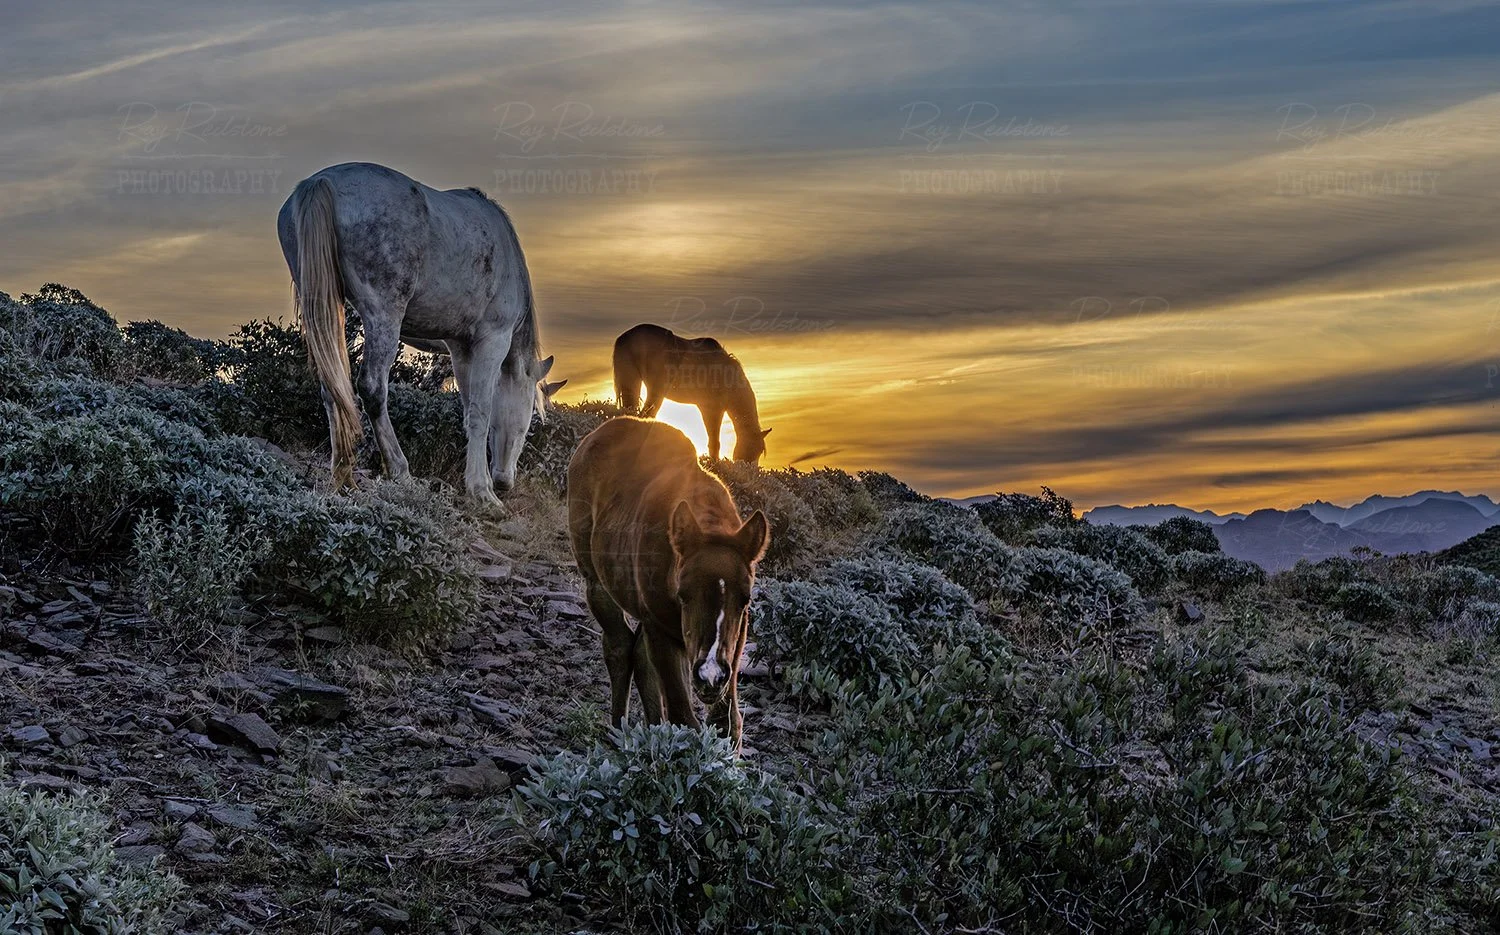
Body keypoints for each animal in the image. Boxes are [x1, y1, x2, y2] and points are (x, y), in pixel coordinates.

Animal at [277, 162, 556, 506]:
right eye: (528, 423)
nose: (504, 482)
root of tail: (321, 181)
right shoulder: (492, 340)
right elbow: (481, 411)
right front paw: (482, 492)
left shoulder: (460, 348)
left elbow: (468, 412)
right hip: (384, 313)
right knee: (372, 387)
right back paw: (399, 471)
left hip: (325, 306)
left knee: (333, 388)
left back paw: (343, 476)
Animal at [567, 417, 771, 749]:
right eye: (683, 594)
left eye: (745, 599)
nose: (710, 675)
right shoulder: (660, 629)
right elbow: (683, 717)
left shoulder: (736, 640)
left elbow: (728, 724)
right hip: (596, 582)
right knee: (619, 647)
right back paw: (619, 730)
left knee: (639, 654)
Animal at [612, 323, 771, 462]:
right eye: (752, 447)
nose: (749, 469)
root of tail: (625, 337)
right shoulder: (712, 410)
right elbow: (714, 442)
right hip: (655, 391)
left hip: (632, 382)